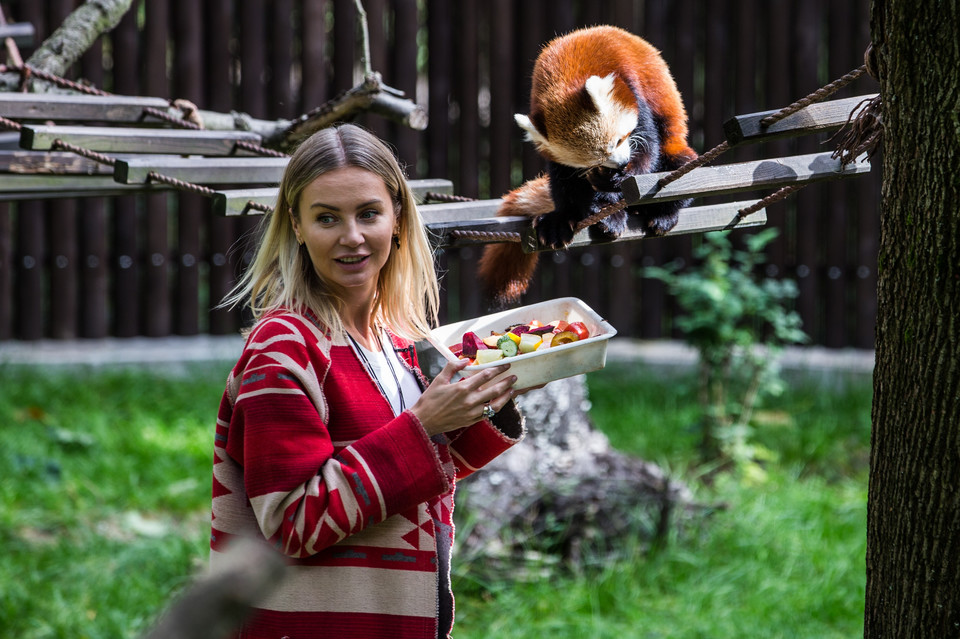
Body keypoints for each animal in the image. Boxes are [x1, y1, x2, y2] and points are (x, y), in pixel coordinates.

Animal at [478, 25, 696, 304]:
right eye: (594, 160)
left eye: (619, 140)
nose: (621, 165)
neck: (563, 76)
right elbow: (566, 177)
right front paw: (598, 205)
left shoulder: (633, 88)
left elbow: (648, 148)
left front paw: (618, 183)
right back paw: (564, 220)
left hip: (676, 148)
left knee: (675, 159)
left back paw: (660, 214)